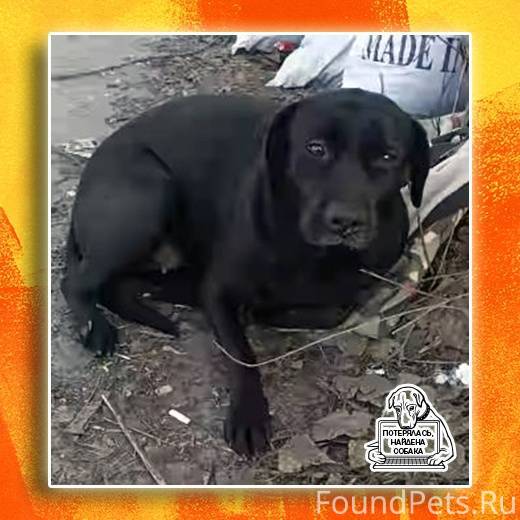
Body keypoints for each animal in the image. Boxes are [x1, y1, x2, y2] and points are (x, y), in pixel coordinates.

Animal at [61, 89, 430, 456]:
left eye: (388, 155)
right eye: (315, 148)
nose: (346, 221)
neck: (313, 254)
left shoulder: (353, 288)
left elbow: (330, 311)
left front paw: (263, 310)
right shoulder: (218, 292)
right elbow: (241, 354)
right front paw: (249, 415)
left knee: (125, 285)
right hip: (149, 198)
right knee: (75, 282)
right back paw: (95, 328)